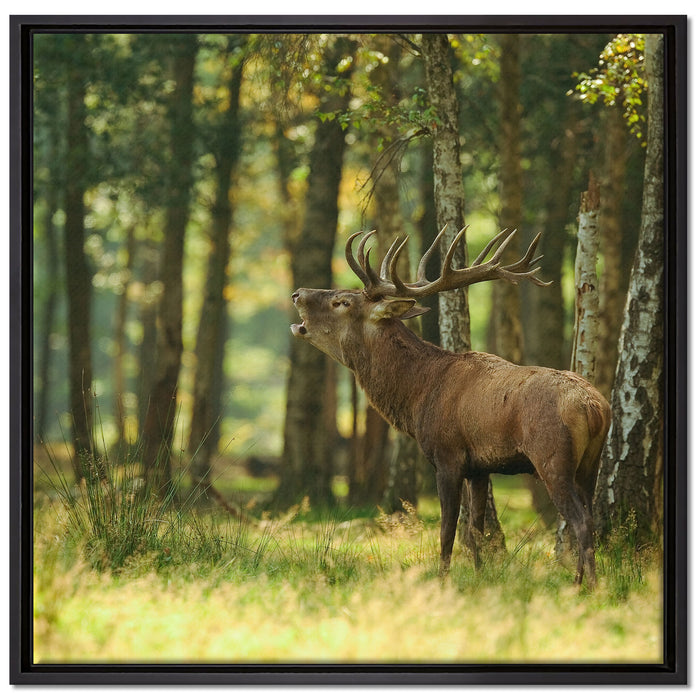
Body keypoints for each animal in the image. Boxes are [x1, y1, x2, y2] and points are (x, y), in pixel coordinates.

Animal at [290, 226, 612, 586]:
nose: (298, 293)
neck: (418, 397)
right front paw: (480, 576)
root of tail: (595, 408)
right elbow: (475, 531)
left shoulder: (447, 456)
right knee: (590, 517)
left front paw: (442, 579)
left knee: (581, 520)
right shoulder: (480, 467)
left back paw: (586, 586)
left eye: (342, 302)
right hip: (590, 463)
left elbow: (447, 531)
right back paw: (581, 580)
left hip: (552, 457)